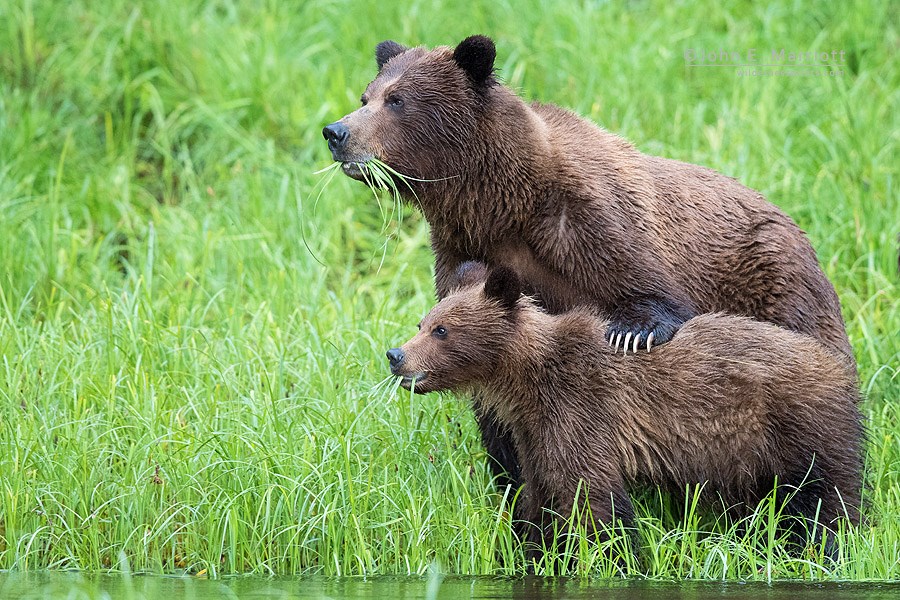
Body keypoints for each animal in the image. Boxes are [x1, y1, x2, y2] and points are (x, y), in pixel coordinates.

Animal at [322, 35, 852, 488]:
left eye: (396, 100)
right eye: (367, 94)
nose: (336, 131)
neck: (500, 206)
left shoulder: (593, 225)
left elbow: (647, 295)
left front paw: (633, 332)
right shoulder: (464, 251)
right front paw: (509, 477)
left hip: (781, 292)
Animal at [386, 264, 864, 560]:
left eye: (442, 330)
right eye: (422, 323)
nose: (395, 356)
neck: (529, 380)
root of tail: (835, 363)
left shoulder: (582, 409)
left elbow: (591, 499)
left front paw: (609, 556)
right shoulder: (536, 432)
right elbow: (538, 496)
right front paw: (530, 549)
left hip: (795, 426)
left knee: (827, 497)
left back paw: (829, 547)